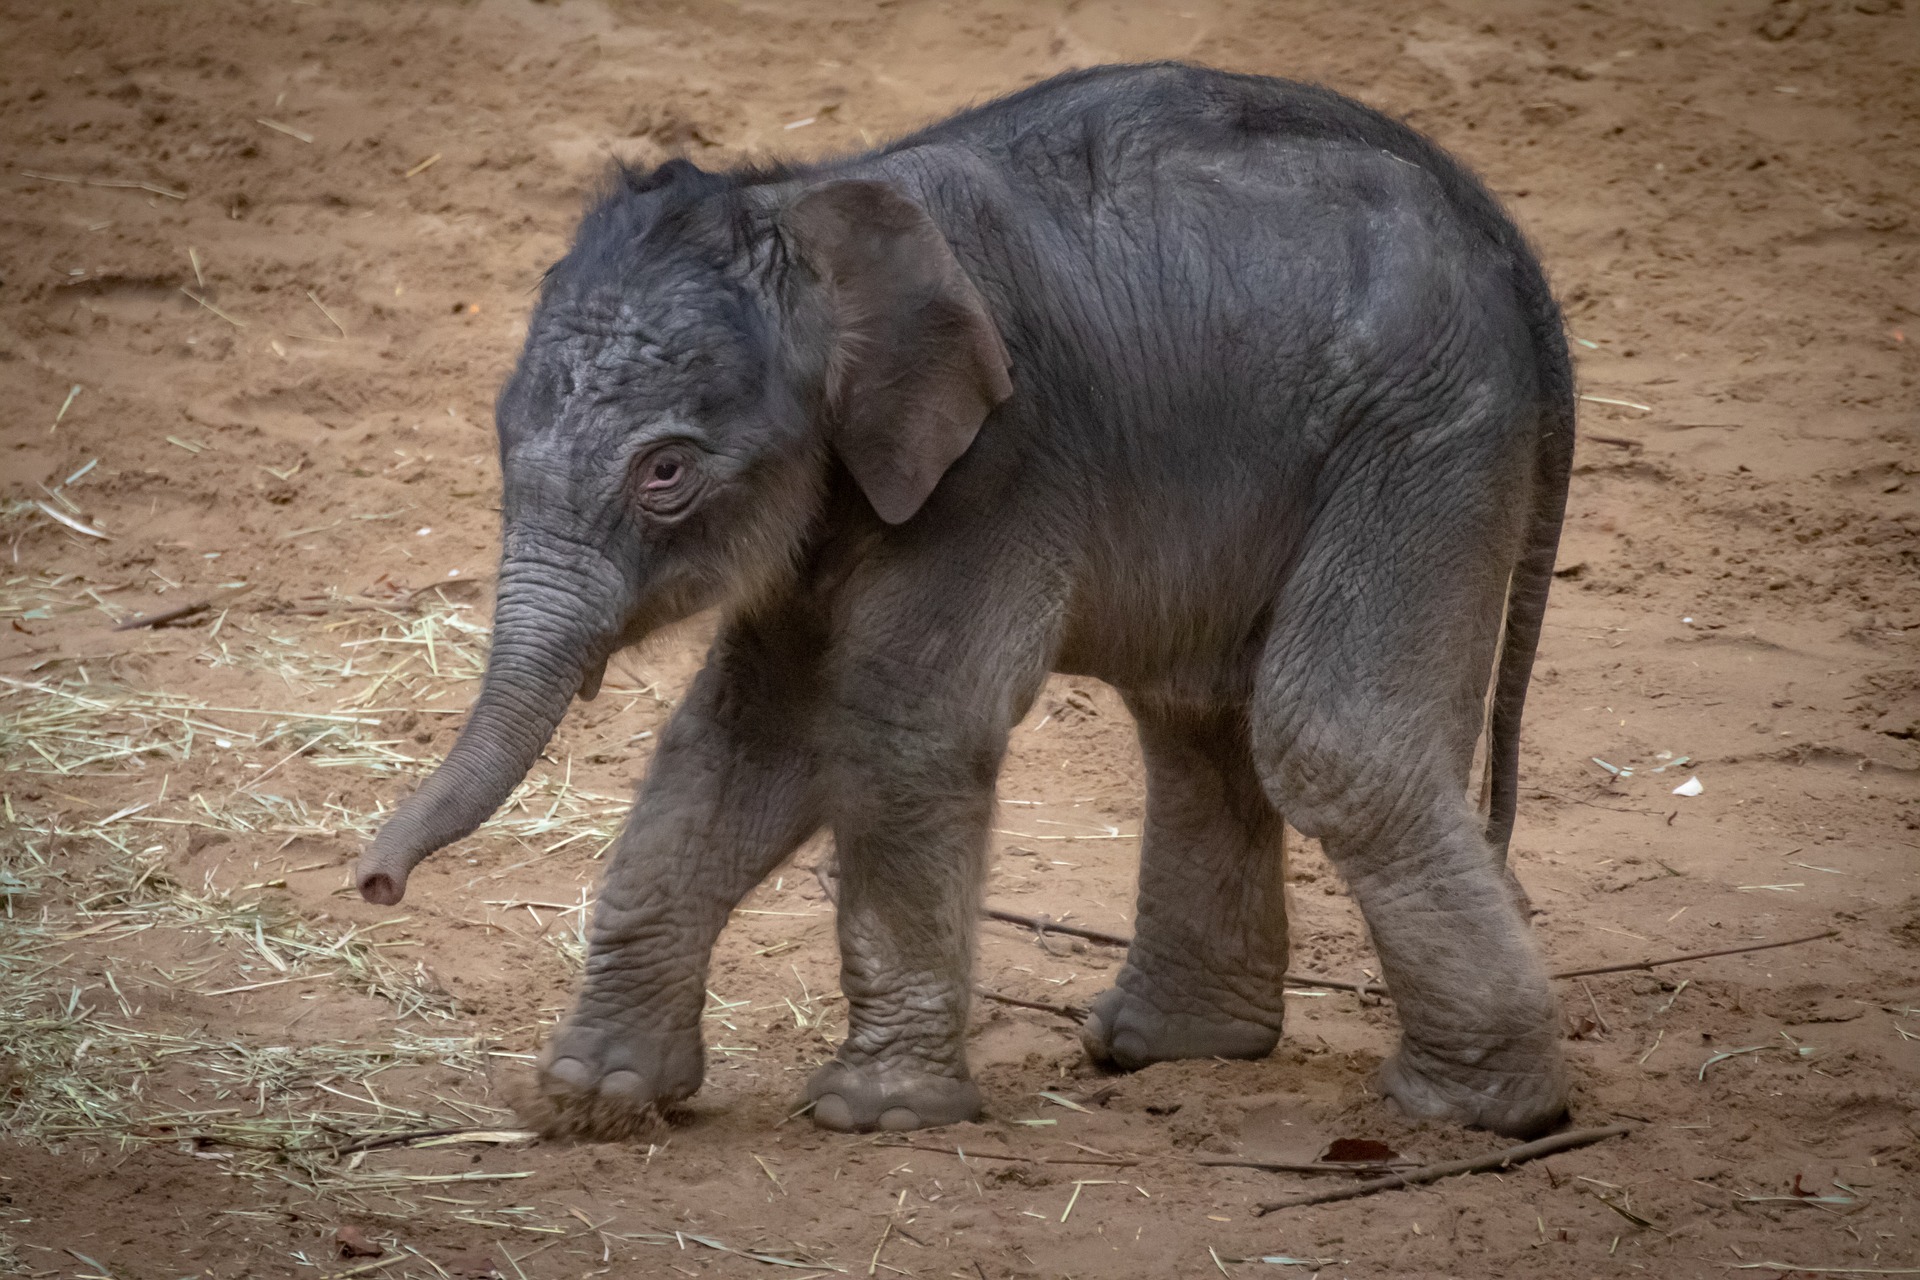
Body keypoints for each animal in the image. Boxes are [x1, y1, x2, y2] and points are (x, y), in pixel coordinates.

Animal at [357, 62, 1574, 1143]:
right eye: (501, 432)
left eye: (665, 472)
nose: (374, 882)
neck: (814, 202)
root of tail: (1502, 234)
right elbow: (745, 738)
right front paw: (594, 1099)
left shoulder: (1002, 462)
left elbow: (906, 727)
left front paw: (873, 1114)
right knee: (1198, 715)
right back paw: (1170, 1049)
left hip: (1426, 428)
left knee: (1329, 740)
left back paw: (1477, 1112)